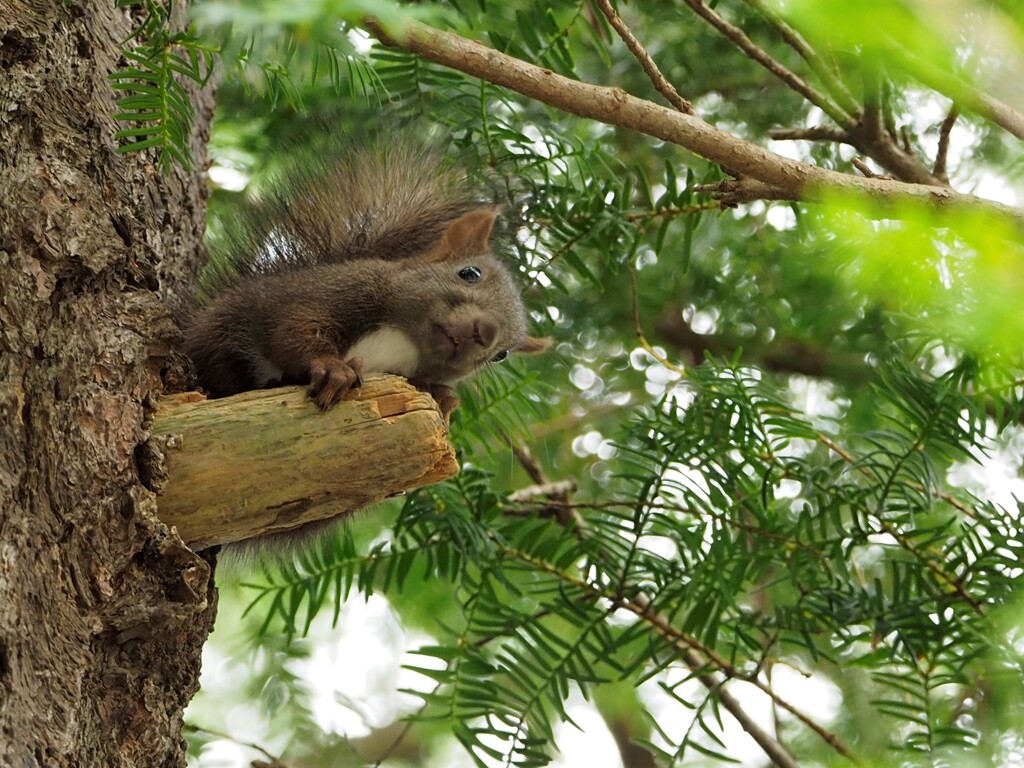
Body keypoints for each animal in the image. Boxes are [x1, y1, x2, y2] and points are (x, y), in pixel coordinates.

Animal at [184, 135, 552, 417]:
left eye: (503, 354)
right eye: (470, 273)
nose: (485, 332)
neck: (403, 337)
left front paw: (444, 399)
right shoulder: (331, 291)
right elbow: (293, 328)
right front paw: (333, 369)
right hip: (221, 332)